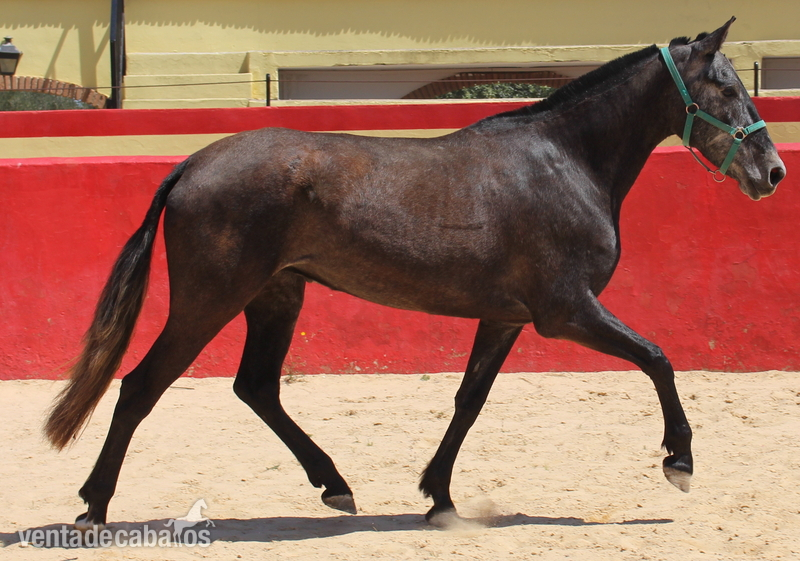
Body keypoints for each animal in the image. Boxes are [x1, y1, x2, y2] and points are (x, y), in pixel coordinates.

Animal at [44, 18, 785, 529]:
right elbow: (658, 357)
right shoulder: (566, 310)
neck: (567, 160)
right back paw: (93, 506)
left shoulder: (505, 317)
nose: (773, 171)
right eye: (724, 86)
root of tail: (191, 164)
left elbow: (468, 400)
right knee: (140, 386)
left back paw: (335, 484)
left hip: (276, 295)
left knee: (256, 387)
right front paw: (679, 461)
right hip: (210, 298)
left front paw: (440, 497)